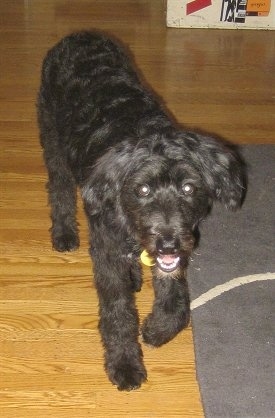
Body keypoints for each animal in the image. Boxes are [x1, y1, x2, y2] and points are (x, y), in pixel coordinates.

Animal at [37, 31, 247, 390]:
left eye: (188, 188)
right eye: (143, 190)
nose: (167, 243)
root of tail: (80, 34)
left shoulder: (176, 252)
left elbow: (177, 302)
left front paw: (156, 329)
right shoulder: (107, 255)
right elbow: (118, 313)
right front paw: (124, 364)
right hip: (52, 141)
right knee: (60, 188)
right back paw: (64, 233)